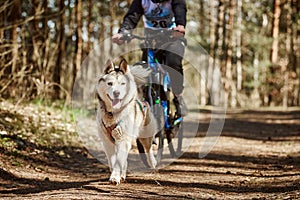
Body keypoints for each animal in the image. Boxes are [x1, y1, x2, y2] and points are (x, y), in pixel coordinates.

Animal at [96, 57, 158, 185]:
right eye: (110, 83)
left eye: (122, 84)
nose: (117, 93)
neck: (112, 114)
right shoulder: (107, 141)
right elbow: (113, 161)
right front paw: (116, 175)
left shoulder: (123, 139)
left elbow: (119, 161)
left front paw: (115, 177)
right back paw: (123, 174)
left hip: (145, 135)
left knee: (148, 149)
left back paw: (152, 162)